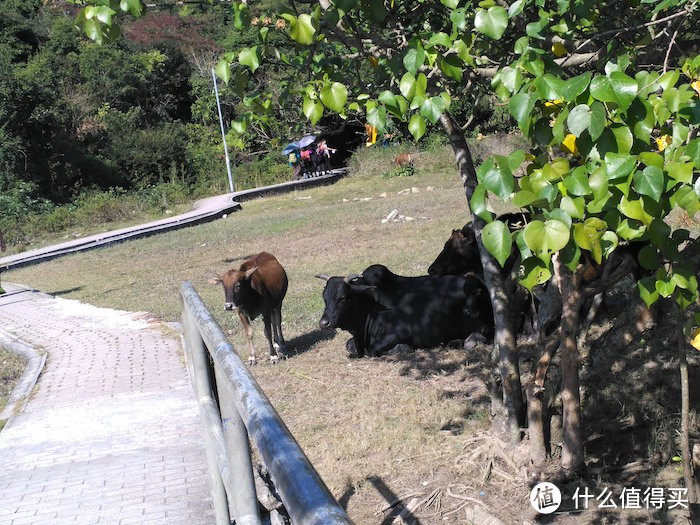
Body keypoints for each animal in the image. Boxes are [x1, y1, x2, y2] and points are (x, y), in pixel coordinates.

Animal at [318, 262, 492, 356]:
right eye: (324, 297)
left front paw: (402, 348)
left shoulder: (401, 331)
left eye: (342, 298)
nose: (324, 323)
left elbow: (373, 349)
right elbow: (349, 345)